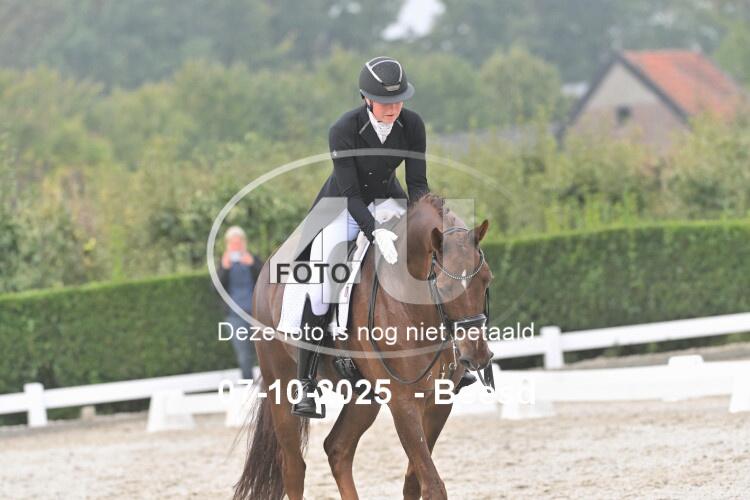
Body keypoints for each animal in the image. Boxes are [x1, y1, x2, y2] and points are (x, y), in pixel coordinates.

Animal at [234, 193, 494, 500]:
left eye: (486, 279)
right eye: (442, 287)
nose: (478, 356)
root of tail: (268, 266)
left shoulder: (439, 401)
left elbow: (415, 481)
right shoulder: (402, 401)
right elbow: (432, 484)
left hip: (364, 395)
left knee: (338, 449)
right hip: (281, 385)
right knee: (293, 466)